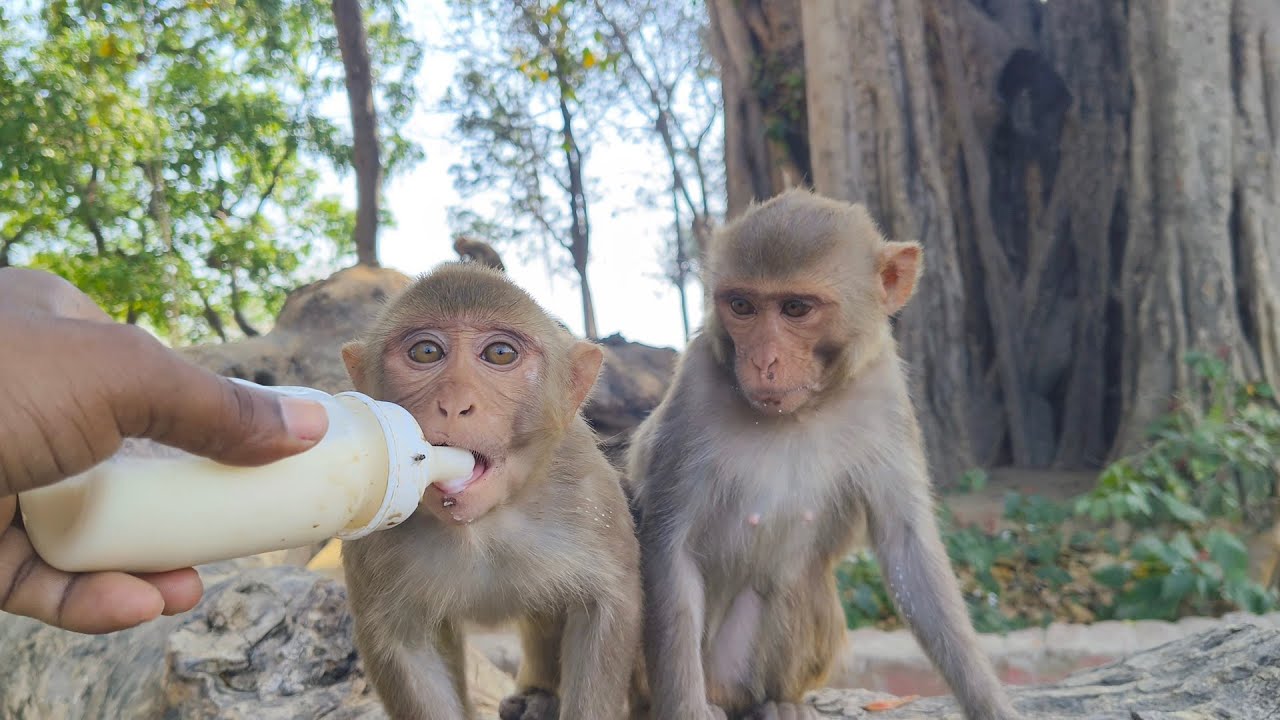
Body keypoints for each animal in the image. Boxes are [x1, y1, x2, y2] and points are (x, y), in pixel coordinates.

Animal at [339, 262, 641, 720]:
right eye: (425, 352)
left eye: (500, 354)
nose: (455, 403)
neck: (483, 524)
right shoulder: (374, 525)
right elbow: (403, 643)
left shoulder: (590, 497)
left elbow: (603, 608)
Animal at [626, 189, 1017, 720]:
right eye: (742, 305)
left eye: (795, 308)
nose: (763, 361)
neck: (804, 409)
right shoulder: (695, 388)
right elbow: (671, 548)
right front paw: (685, 712)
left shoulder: (883, 388)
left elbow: (907, 548)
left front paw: (989, 701)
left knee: (796, 583)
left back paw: (774, 702)